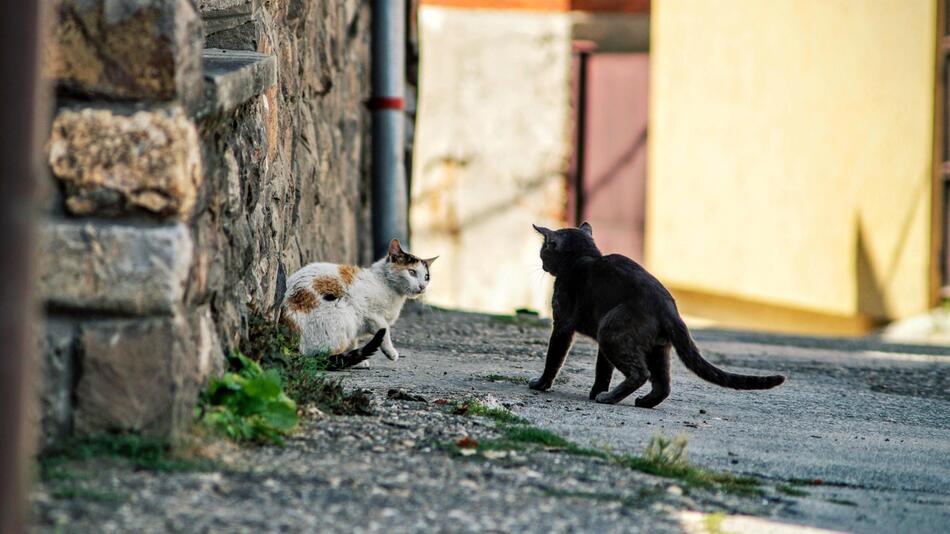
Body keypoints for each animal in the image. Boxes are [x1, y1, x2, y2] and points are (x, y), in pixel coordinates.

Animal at [278, 240, 436, 370]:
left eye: (426, 277)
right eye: (412, 272)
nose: (422, 287)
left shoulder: (357, 330)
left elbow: (354, 341)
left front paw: (359, 361)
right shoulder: (372, 315)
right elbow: (385, 331)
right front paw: (391, 353)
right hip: (344, 313)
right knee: (321, 357)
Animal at [528, 224, 788, 408]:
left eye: (543, 251)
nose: (541, 263)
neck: (582, 256)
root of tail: (668, 307)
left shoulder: (562, 325)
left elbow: (554, 358)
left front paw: (541, 385)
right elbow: (603, 370)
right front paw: (595, 392)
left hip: (611, 331)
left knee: (640, 373)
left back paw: (610, 398)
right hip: (656, 348)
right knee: (663, 384)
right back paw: (642, 402)